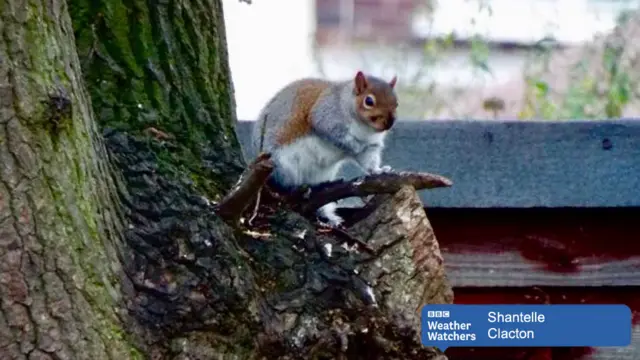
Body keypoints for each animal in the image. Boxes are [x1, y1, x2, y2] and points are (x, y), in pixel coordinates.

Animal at [251, 71, 398, 225]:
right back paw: (297, 188)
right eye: (369, 101)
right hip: (282, 165)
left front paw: (379, 170)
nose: (389, 123)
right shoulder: (327, 115)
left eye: (396, 103)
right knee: (285, 185)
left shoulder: (371, 146)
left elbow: (369, 161)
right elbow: (332, 133)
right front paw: (354, 146)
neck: (364, 127)